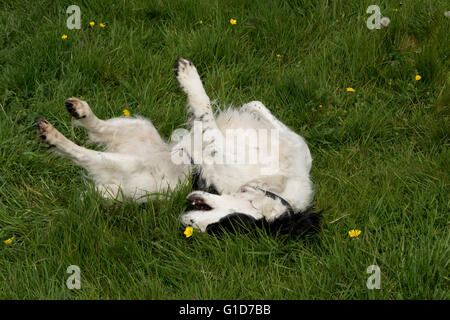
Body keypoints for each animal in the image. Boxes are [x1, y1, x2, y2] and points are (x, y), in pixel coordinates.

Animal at [37, 57, 322, 236]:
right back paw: (80, 110)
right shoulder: (295, 146)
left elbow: (207, 117)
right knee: (98, 128)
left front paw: (189, 79)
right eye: (229, 221)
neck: (276, 184)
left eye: (220, 229)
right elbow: (254, 106)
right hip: (139, 126)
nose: (185, 222)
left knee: (85, 154)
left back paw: (52, 135)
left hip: (127, 162)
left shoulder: (222, 155)